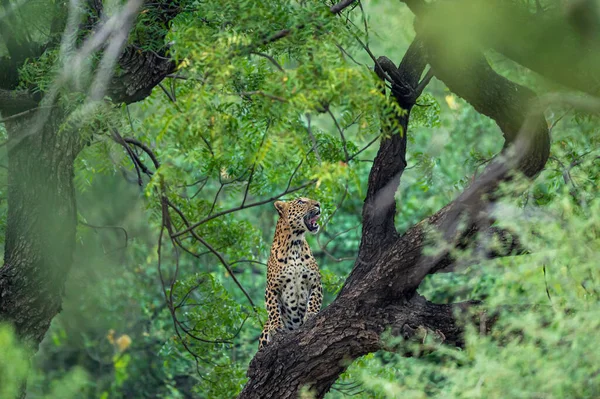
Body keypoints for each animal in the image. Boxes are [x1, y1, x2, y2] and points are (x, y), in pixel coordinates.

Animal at [258, 198, 324, 350]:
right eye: (301, 201)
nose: (318, 204)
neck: (294, 242)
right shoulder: (271, 288)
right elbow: (273, 309)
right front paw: (276, 327)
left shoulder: (315, 282)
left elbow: (314, 300)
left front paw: (311, 314)